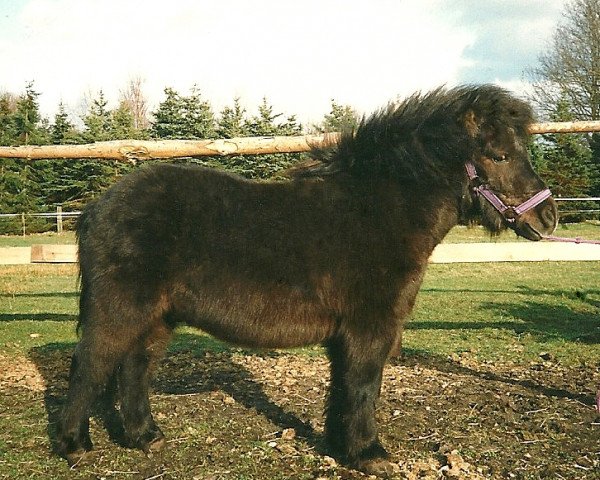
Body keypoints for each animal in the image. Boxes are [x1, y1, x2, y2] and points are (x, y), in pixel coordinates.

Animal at [56, 85, 556, 476]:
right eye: (500, 155)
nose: (548, 218)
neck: (378, 211)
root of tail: (97, 207)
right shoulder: (369, 326)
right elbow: (364, 384)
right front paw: (370, 454)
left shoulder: (347, 332)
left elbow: (343, 386)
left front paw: (340, 446)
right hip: (120, 309)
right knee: (90, 365)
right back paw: (75, 446)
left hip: (157, 317)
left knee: (133, 368)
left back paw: (146, 437)